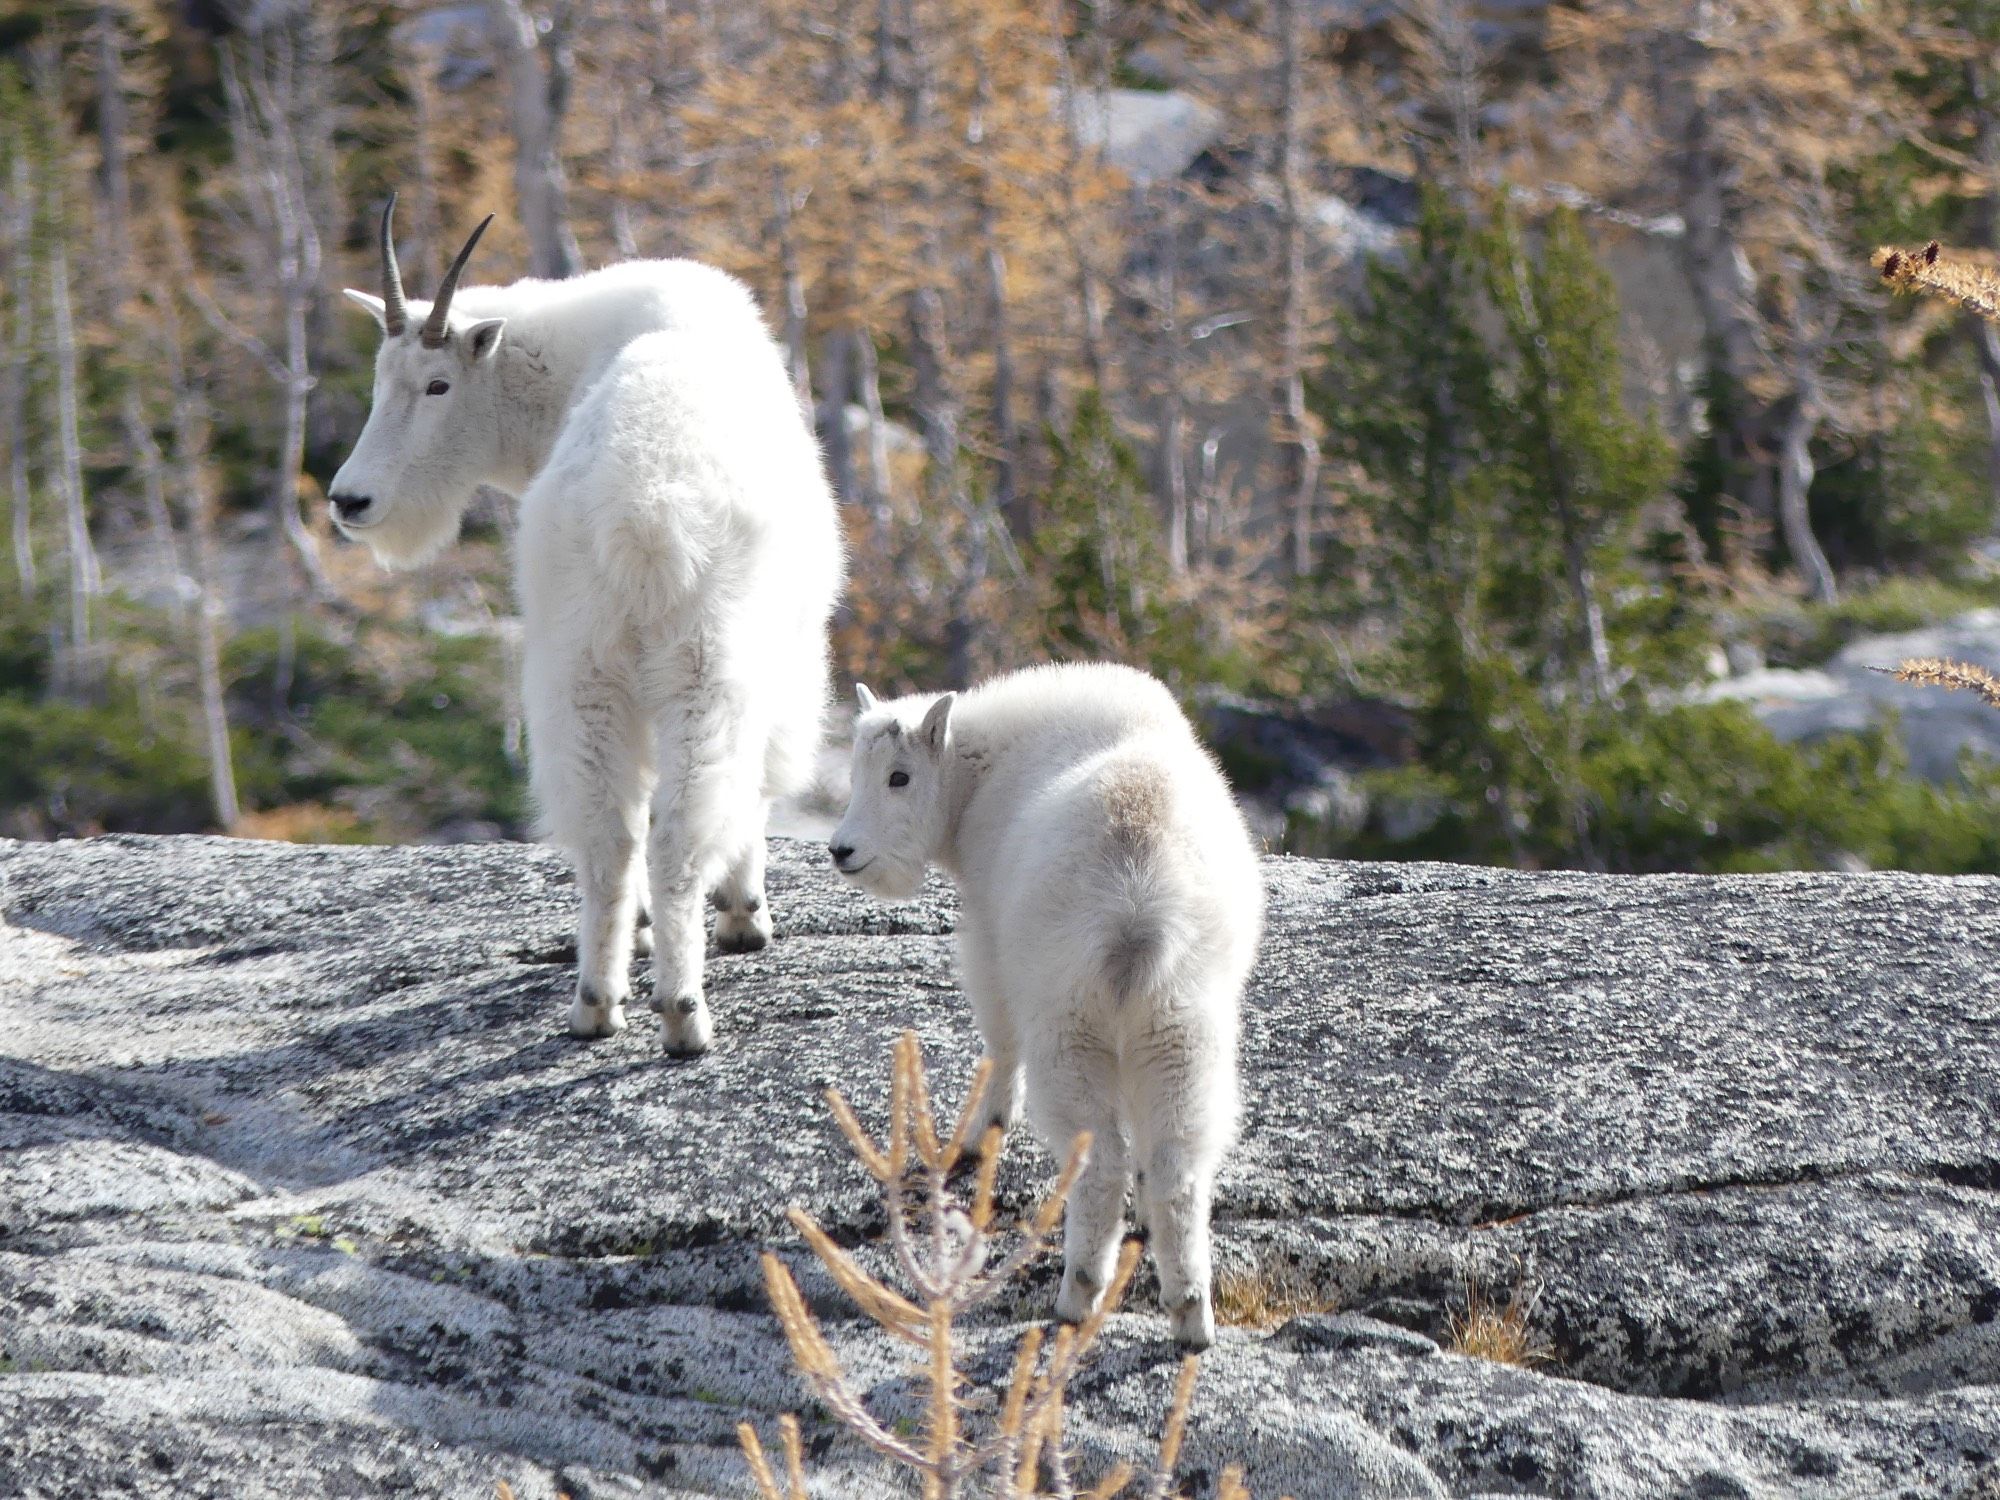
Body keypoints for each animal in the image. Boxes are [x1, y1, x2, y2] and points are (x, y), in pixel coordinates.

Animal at [330, 203, 844, 1056]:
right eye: (379, 383)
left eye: (436, 383)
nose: (350, 501)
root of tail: (640, 512)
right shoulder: (792, 655)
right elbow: (763, 787)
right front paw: (746, 915)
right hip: (704, 667)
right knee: (681, 828)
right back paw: (683, 1011)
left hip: (577, 666)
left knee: (606, 833)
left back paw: (598, 998)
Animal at [828, 668, 1264, 1352]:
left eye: (899, 776)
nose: (842, 851)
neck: (977, 776)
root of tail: (1139, 913)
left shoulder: (988, 931)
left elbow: (1000, 1035)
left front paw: (982, 1131)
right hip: (1183, 1023)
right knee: (1181, 1163)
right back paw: (1192, 1313)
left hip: (1070, 1021)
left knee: (1101, 1161)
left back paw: (1078, 1294)